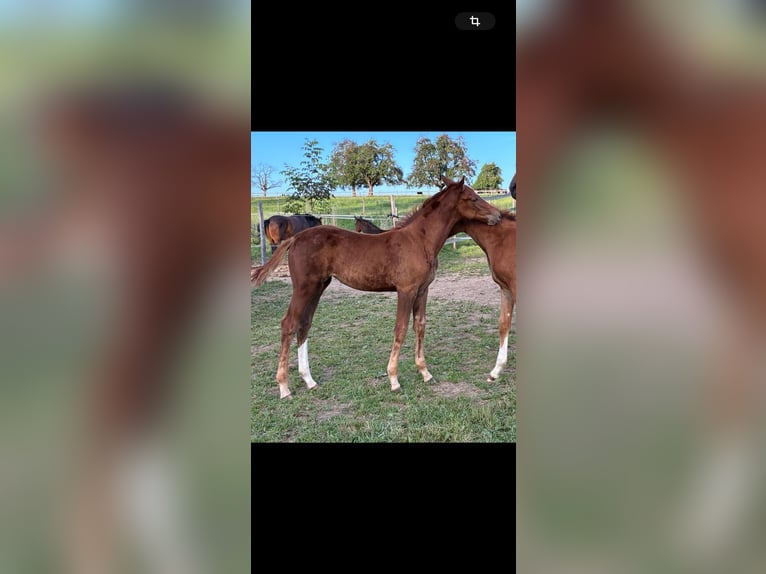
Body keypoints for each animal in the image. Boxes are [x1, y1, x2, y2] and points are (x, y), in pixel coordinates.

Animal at [251, 176, 502, 399]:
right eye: (472, 198)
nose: (498, 216)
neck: (420, 240)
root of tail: (295, 238)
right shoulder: (406, 290)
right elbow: (400, 329)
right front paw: (393, 379)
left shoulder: (423, 290)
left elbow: (419, 326)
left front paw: (425, 373)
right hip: (304, 287)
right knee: (289, 324)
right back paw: (284, 387)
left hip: (318, 287)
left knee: (304, 324)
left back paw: (309, 381)